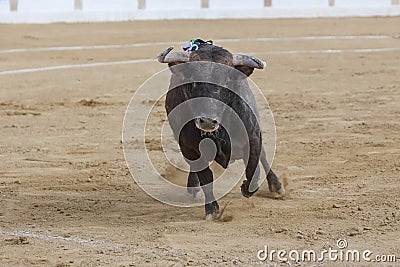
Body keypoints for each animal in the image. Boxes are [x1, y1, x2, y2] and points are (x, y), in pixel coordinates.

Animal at [158, 43, 286, 220]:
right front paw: (212, 211)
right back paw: (193, 188)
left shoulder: (253, 138)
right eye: (194, 82)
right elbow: (206, 178)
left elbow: (254, 167)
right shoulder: (190, 149)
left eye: (226, 82)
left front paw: (247, 187)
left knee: (264, 157)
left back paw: (277, 186)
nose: (207, 121)